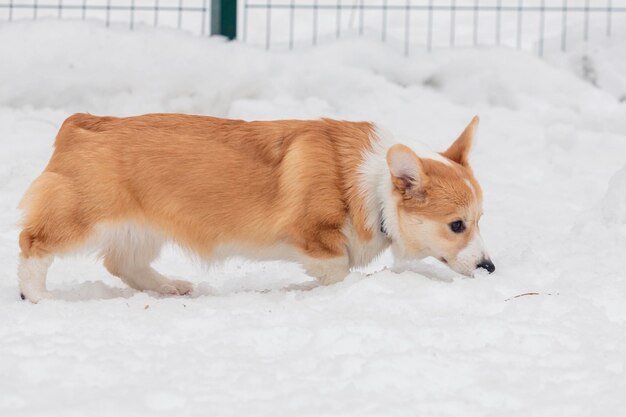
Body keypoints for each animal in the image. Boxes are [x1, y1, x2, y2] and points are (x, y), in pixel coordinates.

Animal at [17, 114, 492, 302]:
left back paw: (170, 286)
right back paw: (38, 295)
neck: (370, 186)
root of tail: (80, 124)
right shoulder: (309, 235)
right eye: (457, 225)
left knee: (123, 264)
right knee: (32, 242)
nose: (489, 268)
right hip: (85, 219)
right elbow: (337, 267)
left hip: (144, 228)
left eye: (479, 221)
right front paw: (309, 288)